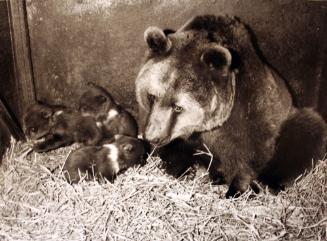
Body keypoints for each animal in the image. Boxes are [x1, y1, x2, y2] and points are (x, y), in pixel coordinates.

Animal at [135, 15, 326, 197]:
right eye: (152, 96)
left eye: (178, 107)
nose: (153, 137)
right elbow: (175, 150)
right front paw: (184, 169)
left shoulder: (247, 106)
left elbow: (248, 149)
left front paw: (238, 188)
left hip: (289, 119)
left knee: (307, 131)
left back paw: (270, 182)